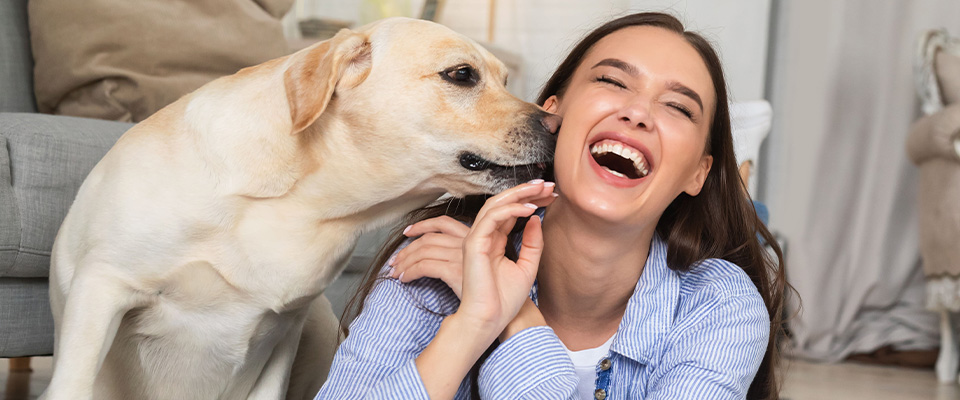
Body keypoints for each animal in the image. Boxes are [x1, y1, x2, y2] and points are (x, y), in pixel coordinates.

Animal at [41, 17, 560, 400]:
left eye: (505, 80)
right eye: (461, 75)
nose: (556, 124)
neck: (301, 202)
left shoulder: (284, 330)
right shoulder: (102, 287)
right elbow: (73, 383)